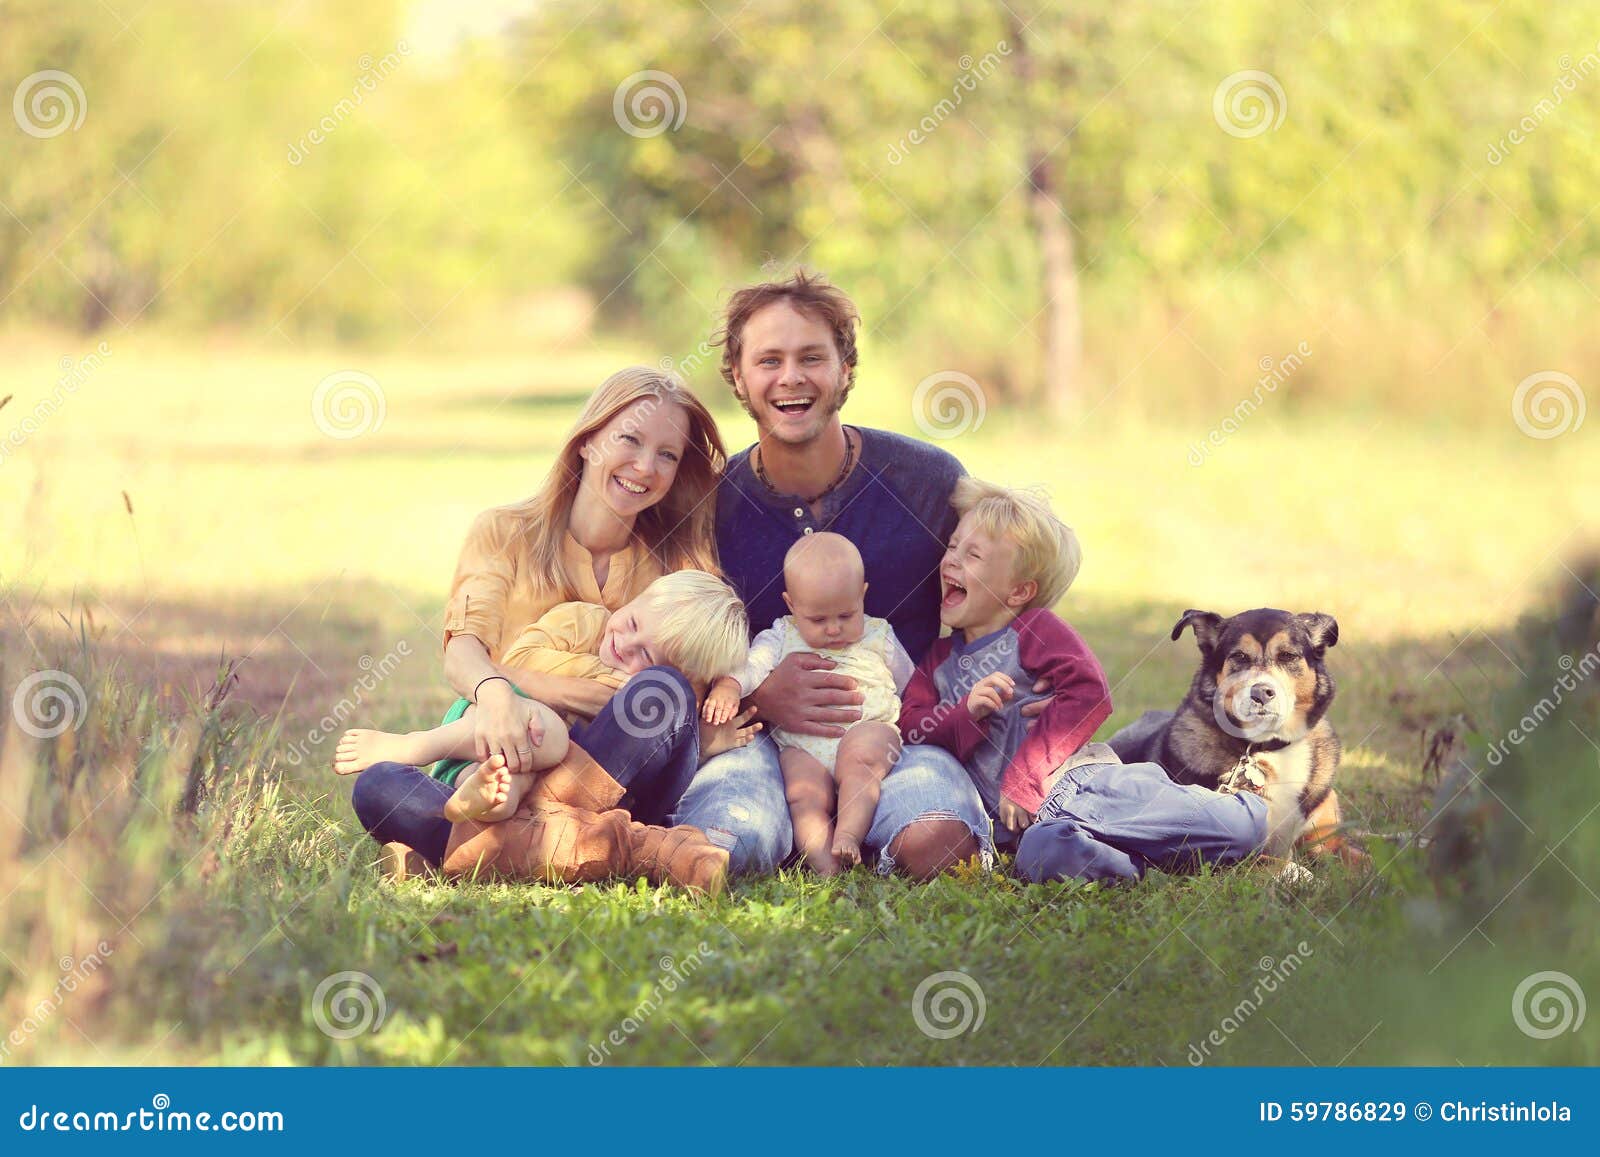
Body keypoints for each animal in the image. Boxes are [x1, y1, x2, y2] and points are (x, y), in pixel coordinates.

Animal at [1113, 604, 1363, 870]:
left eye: (1287, 656)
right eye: (1240, 656)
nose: (1261, 693)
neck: (1269, 747)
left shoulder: (1328, 839)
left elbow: (1365, 858)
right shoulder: (1233, 848)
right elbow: (1283, 864)